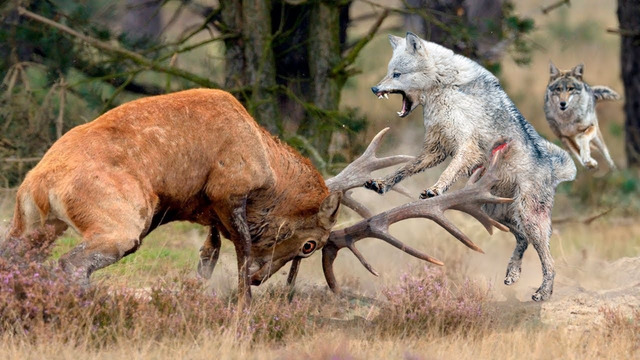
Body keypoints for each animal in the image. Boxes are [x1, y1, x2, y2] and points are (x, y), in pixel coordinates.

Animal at [362, 31, 576, 300]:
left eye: (397, 74)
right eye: (389, 71)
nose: (374, 88)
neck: (444, 88)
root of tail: (553, 169)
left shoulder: (467, 146)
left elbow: (448, 172)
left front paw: (435, 190)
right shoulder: (436, 148)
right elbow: (404, 169)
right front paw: (381, 183)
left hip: (526, 217)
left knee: (549, 261)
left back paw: (543, 293)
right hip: (493, 211)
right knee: (522, 240)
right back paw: (512, 274)